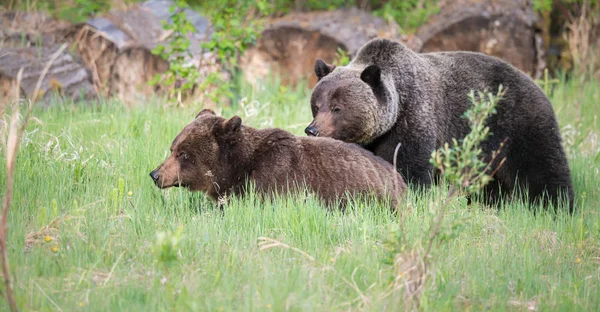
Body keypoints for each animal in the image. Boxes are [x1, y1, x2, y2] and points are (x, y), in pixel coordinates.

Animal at [149, 109, 408, 210]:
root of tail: (400, 178)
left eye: (183, 154)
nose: (155, 174)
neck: (237, 168)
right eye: (172, 148)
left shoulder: (275, 176)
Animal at [308, 37, 576, 211]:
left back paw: (557, 206)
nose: (312, 130)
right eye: (316, 105)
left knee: (543, 167)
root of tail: (536, 84)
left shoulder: (414, 119)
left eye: (337, 108)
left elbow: (409, 168)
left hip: (519, 124)